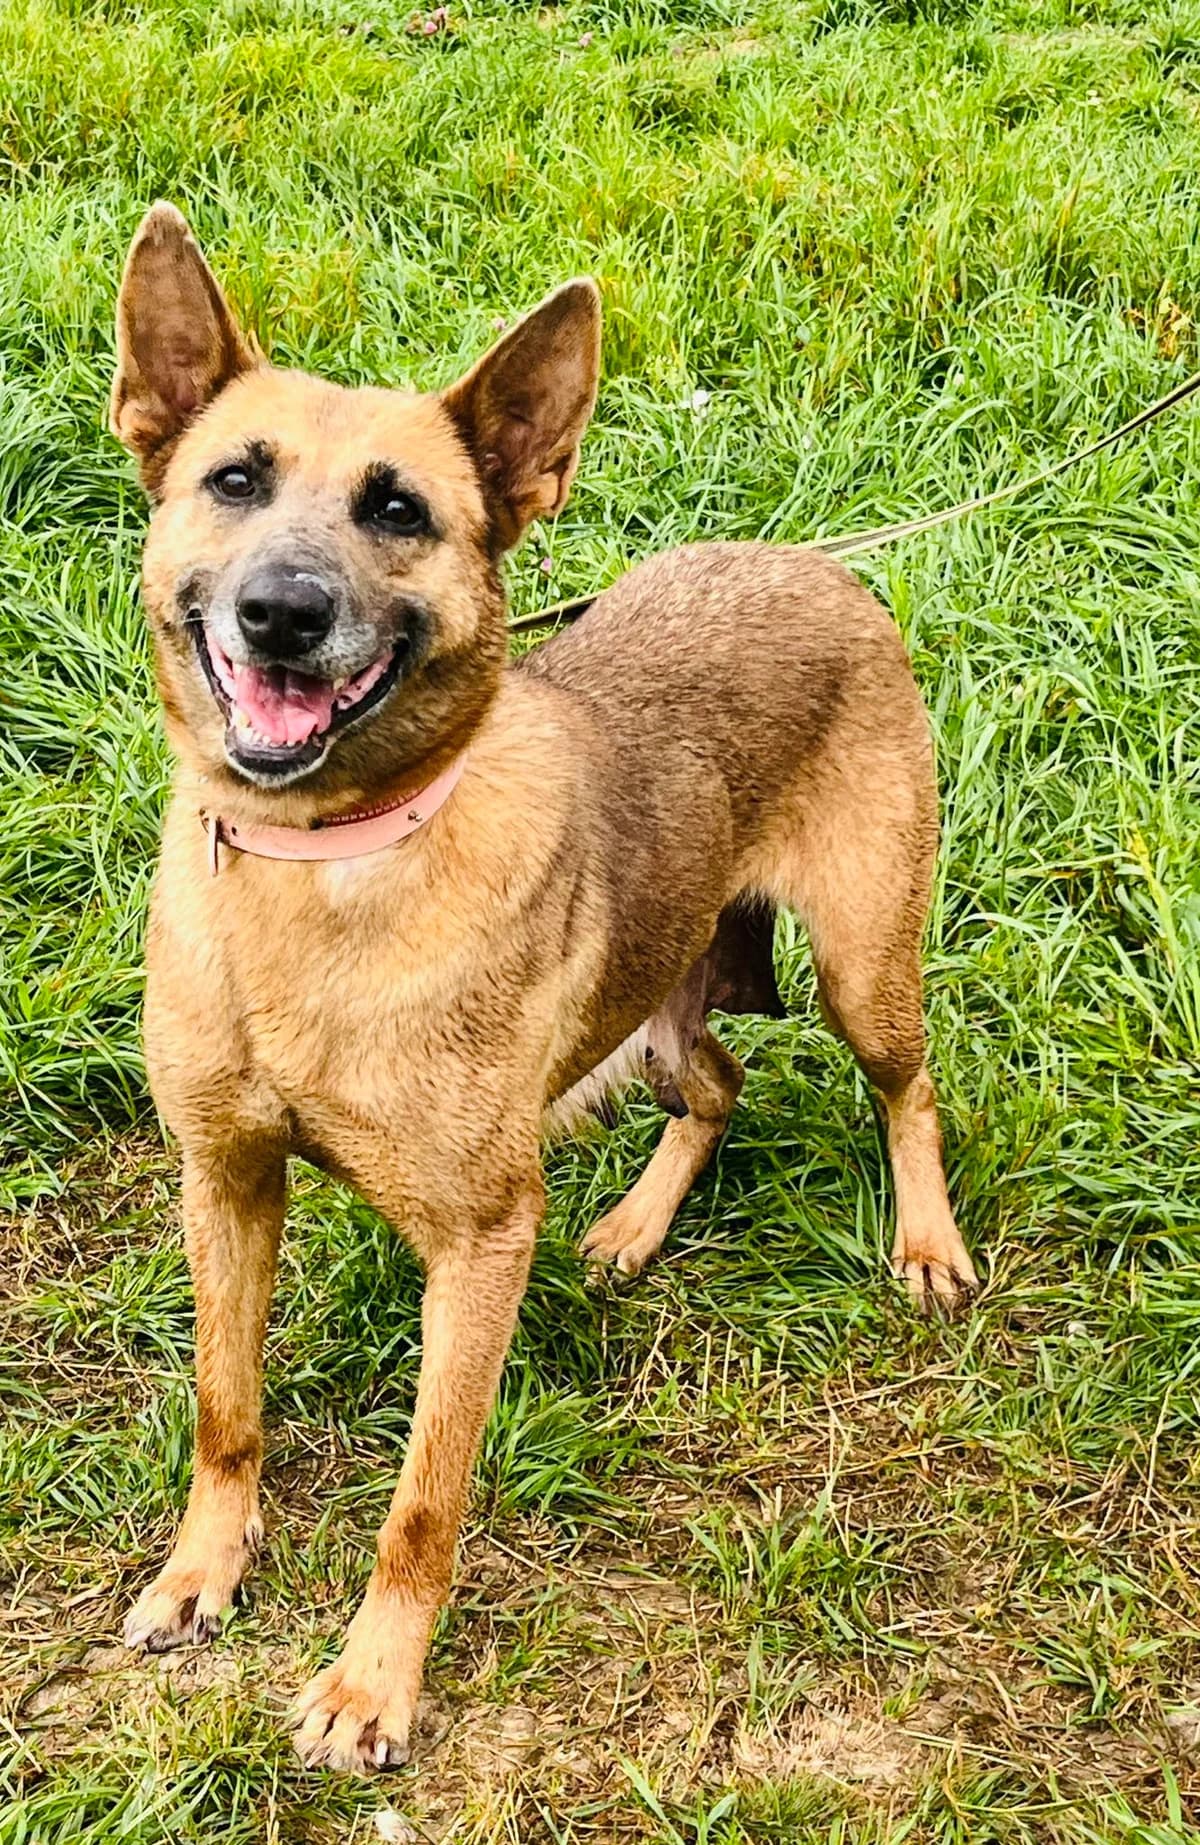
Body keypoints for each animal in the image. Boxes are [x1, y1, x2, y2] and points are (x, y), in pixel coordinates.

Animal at [111, 203, 979, 1773]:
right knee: (719, 1082)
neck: (325, 869)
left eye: (400, 511)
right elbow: (225, 1406)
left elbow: (423, 1500)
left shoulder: (478, 1248)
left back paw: (927, 1240)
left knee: (908, 1086)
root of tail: (810, 561)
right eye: (234, 479)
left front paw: (371, 1684)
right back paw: (636, 1223)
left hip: (863, 967)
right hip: (654, 1001)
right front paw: (204, 1568)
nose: (281, 611)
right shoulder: (226, 1180)